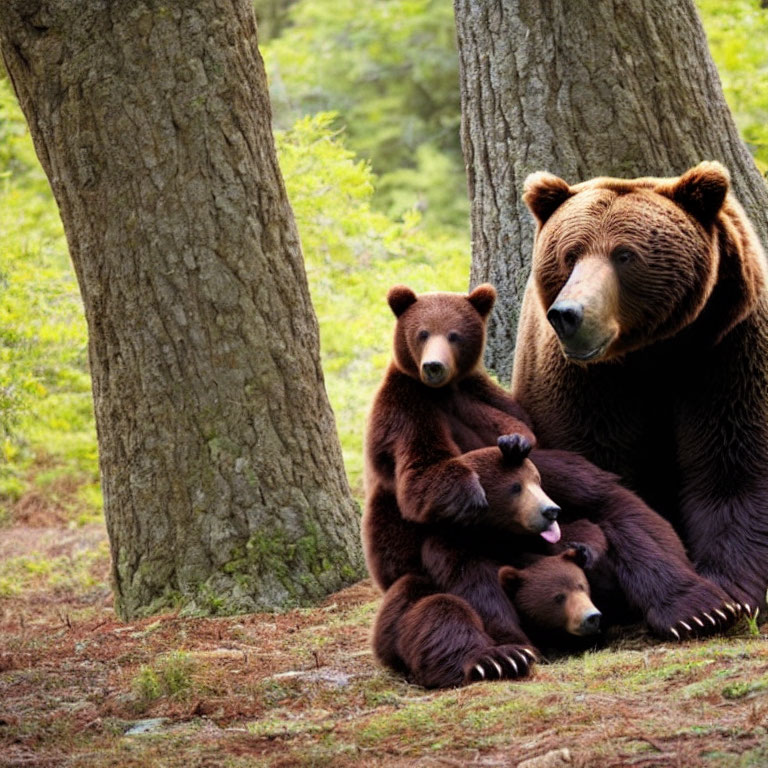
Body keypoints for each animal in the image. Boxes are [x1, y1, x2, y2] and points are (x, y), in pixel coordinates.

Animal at [512, 164, 768, 616]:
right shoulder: (584, 384)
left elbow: (731, 464)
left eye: (624, 254)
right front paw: (692, 606)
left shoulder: (725, 346)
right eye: (570, 254)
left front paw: (728, 592)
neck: (652, 352)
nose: (568, 314)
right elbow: (603, 485)